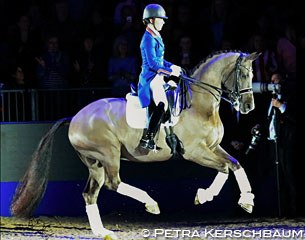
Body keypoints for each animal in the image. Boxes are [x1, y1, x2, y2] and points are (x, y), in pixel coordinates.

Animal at [11, 50, 258, 238]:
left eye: (252, 74)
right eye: (243, 74)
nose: (248, 107)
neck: (199, 105)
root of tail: (75, 118)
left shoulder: (214, 147)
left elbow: (234, 165)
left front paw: (244, 201)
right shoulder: (195, 152)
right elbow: (224, 167)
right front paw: (206, 196)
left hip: (94, 162)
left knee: (90, 194)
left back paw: (102, 231)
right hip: (108, 154)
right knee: (113, 183)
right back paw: (150, 204)